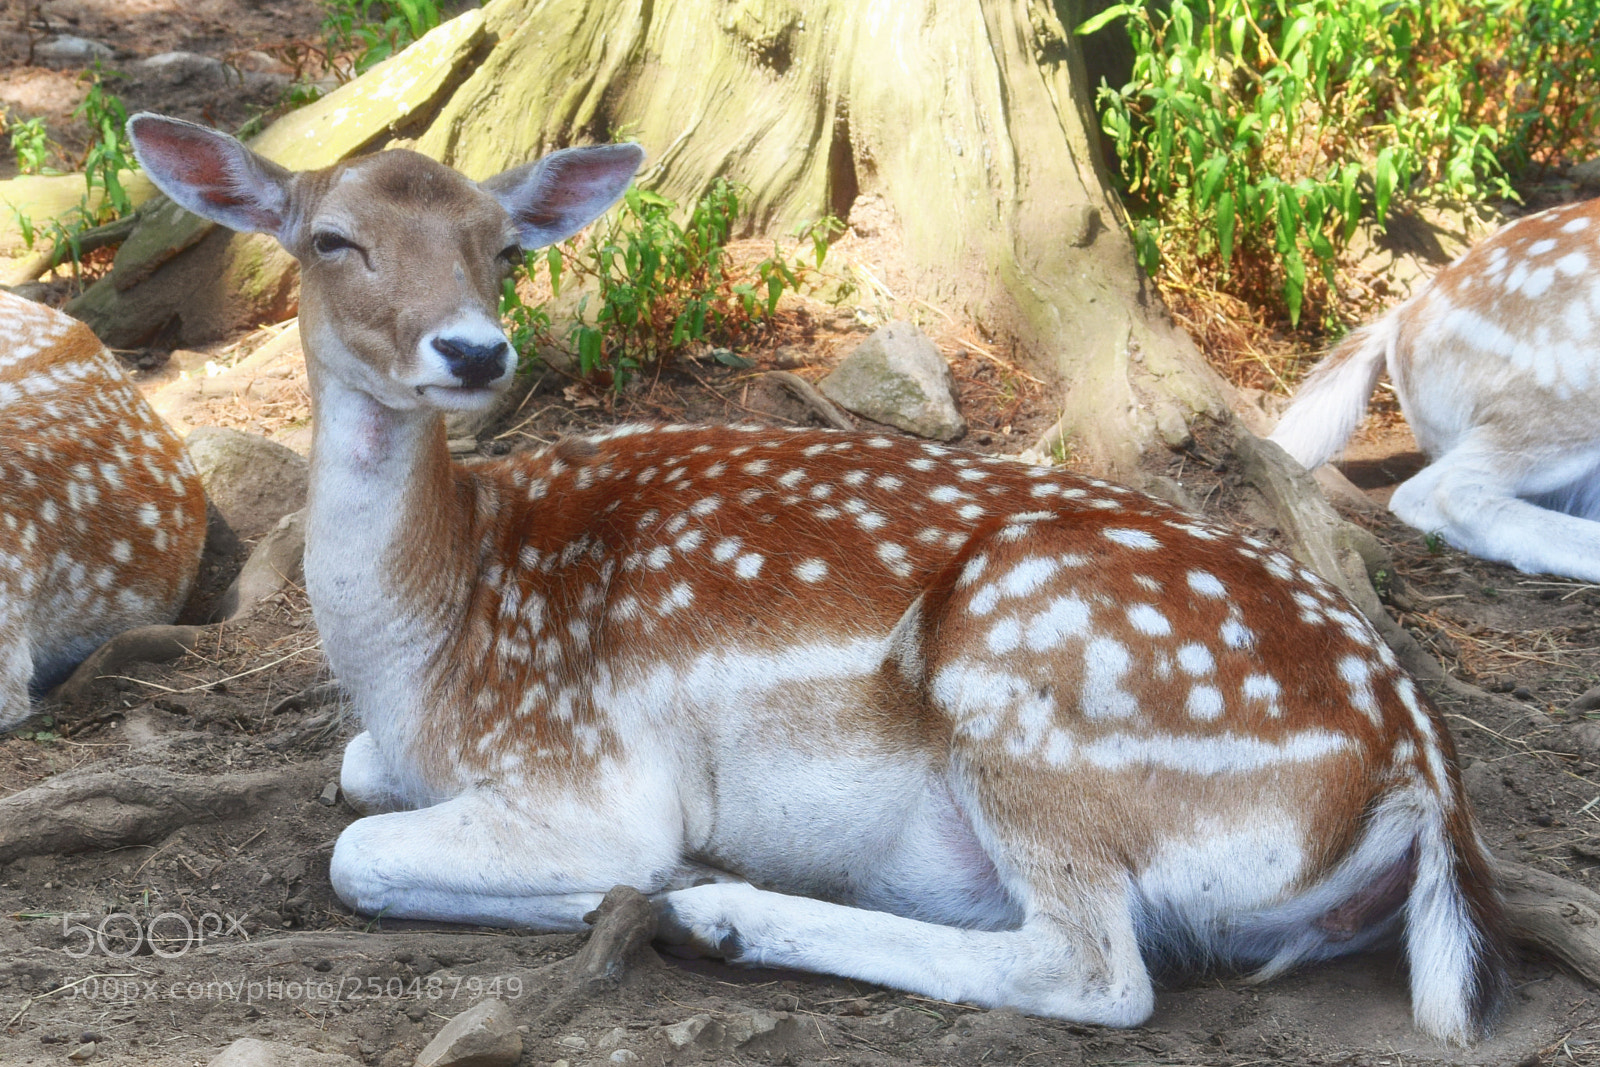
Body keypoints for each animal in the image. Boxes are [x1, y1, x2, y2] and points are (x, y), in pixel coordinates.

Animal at [128, 112, 1511, 1044]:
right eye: (331, 238)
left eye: (499, 244)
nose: (473, 350)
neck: (427, 646)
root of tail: (1423, 782)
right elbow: (353, 775)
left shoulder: (589, 771)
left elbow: (359, 852)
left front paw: (659, 882)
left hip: (1037, 690)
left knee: (1095, 970)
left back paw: (726, 911)